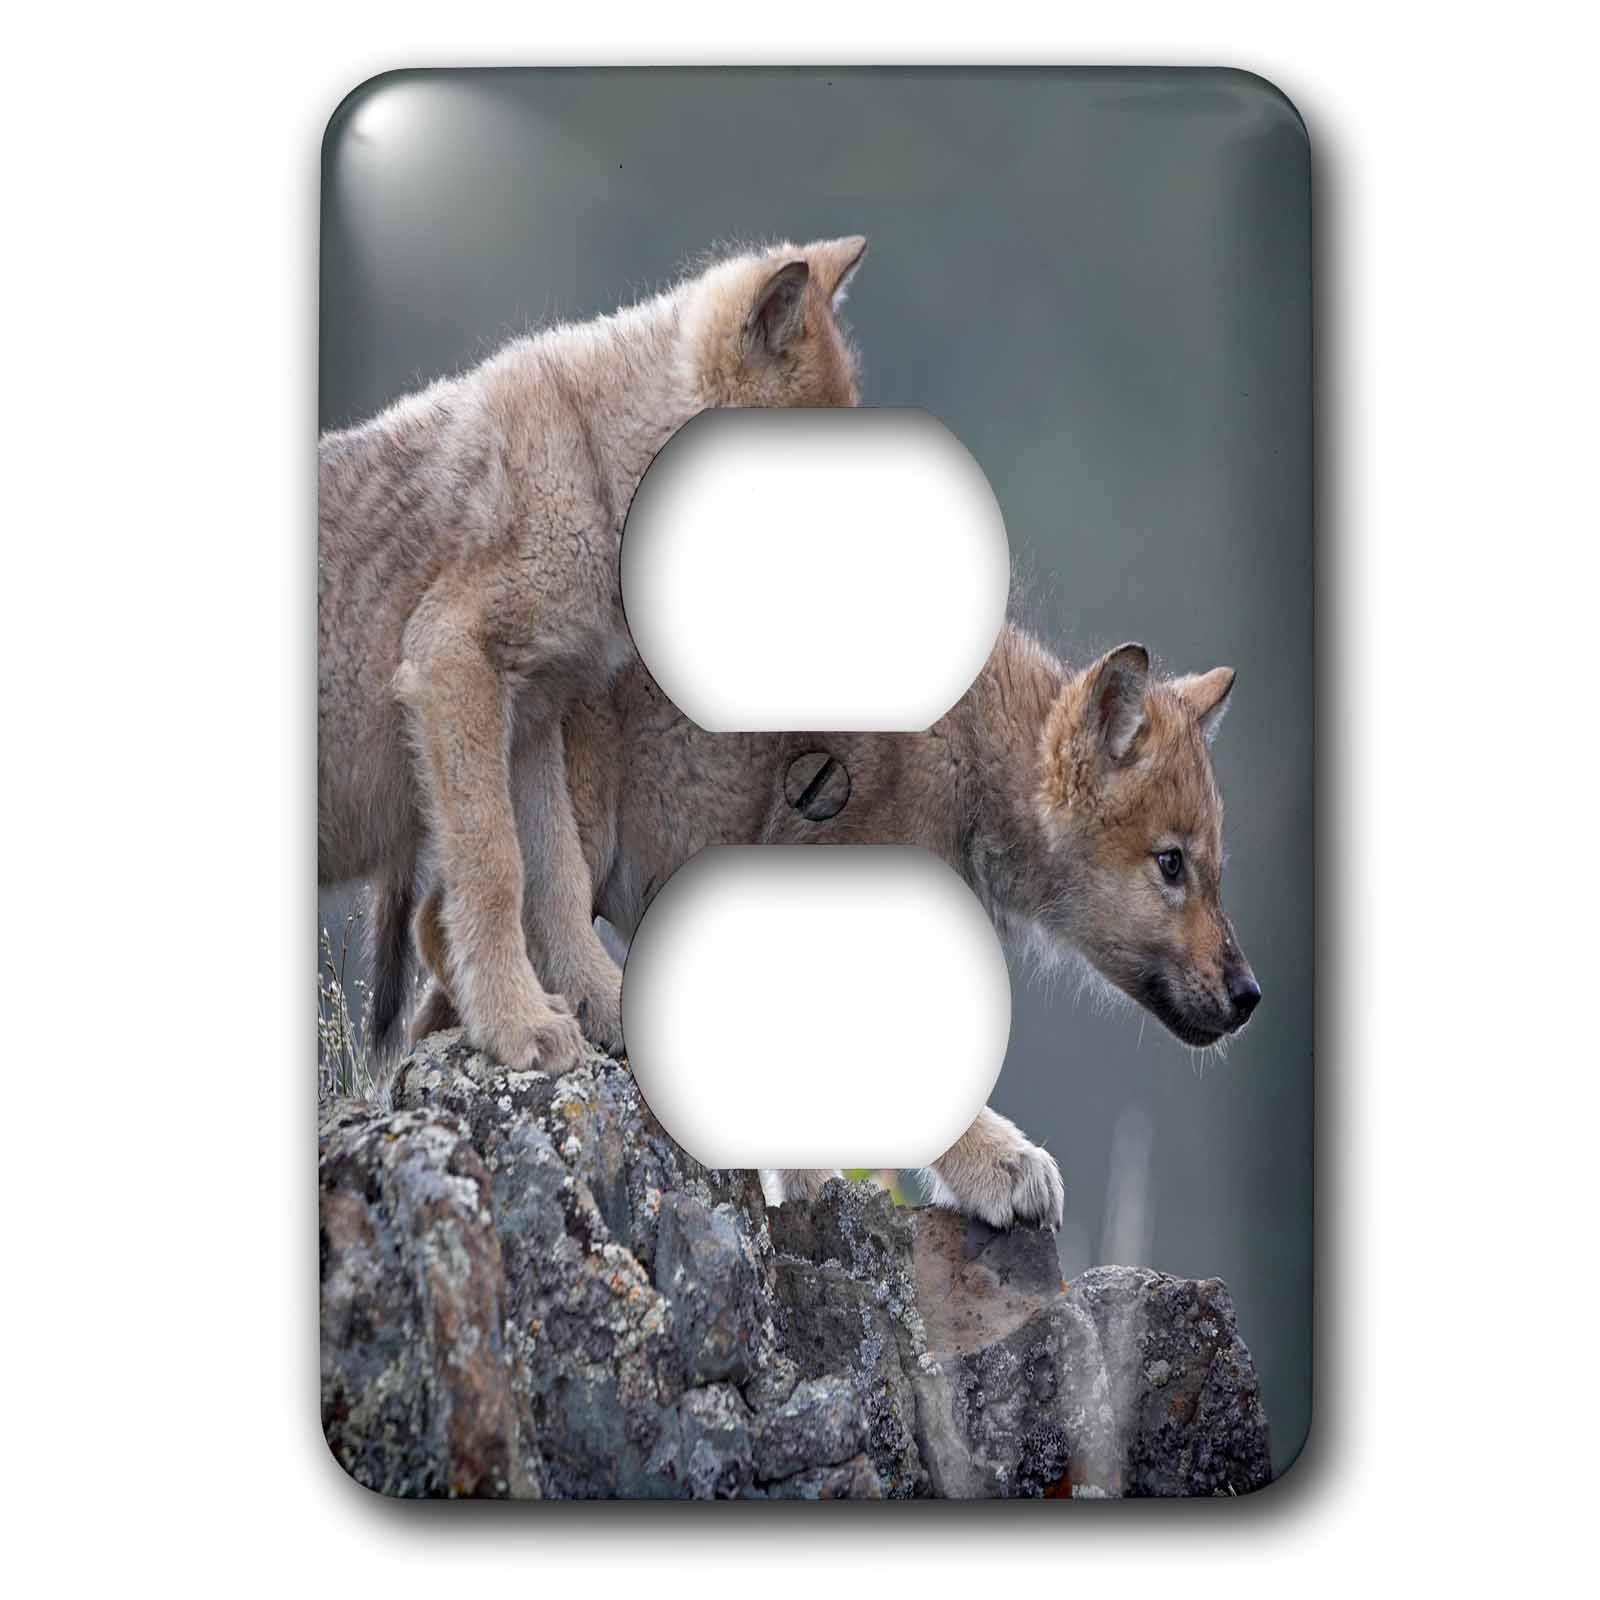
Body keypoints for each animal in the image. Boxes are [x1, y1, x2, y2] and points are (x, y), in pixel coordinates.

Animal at [319, 237, 868, 1075]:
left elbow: (558, 885)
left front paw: (600, 1011)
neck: (596, 472)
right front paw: (517, 1026)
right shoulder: (455, 668)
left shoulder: (535, 722)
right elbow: (497, 868)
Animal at [389, 620, 1261, 1230]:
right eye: (1171, 865)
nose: (1250, 994)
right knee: (457, 922)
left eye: (1215, 869)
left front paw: (809, 1190)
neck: (975, 770)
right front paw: (999, 1168)